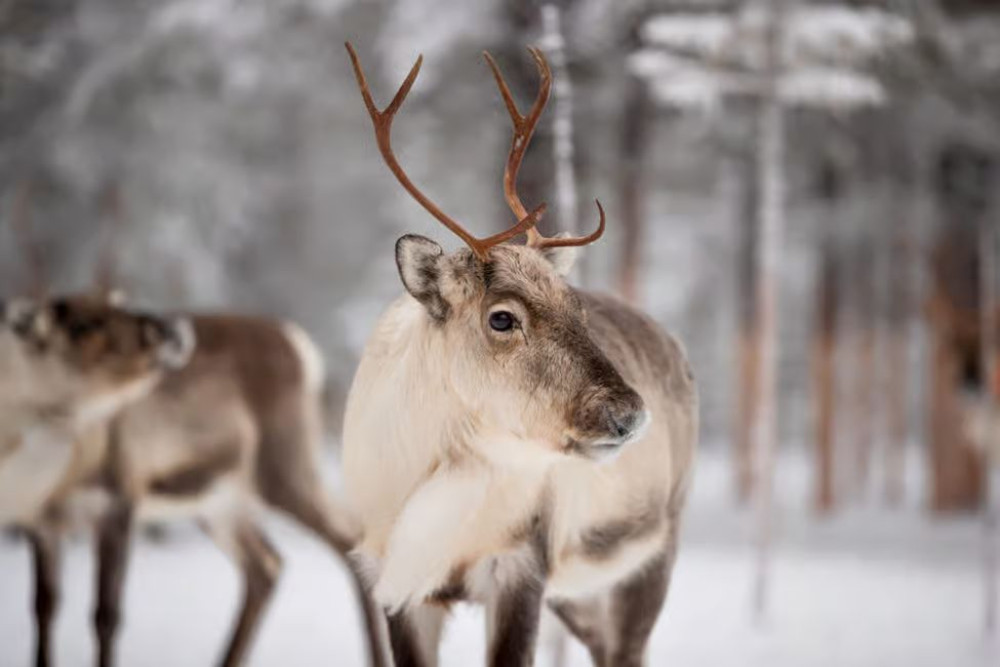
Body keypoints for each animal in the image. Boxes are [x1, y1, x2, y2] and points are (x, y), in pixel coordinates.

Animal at [342, 42, 698, 667]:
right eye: (501, 317)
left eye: (576, 305)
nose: (630, 414)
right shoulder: (392, 579)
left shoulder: (521, 565)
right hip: (578, 596)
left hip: (653, 552)